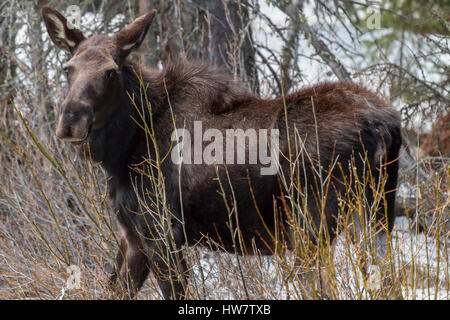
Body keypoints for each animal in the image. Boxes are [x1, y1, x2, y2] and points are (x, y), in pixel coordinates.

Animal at [42, 6, 400, 298]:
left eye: (111, 71)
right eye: (67, 68)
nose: (71, 119)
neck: (121, 152)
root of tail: (384, 125)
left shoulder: (162, 231)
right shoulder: (132, 234)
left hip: (311, 225)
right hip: (379, 214)